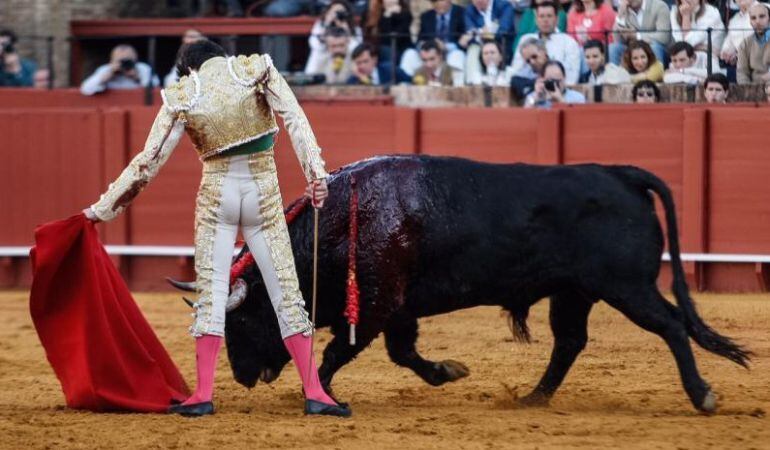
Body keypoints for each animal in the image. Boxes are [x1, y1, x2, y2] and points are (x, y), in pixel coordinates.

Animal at [172, 154, 744, 412]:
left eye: (242, 320)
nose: (245, 377)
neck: (341, 220)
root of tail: (619, 173)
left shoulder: (377, 304)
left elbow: (337, 352)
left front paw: (325, 394)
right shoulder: (397, 308)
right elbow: (404, 353)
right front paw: (448, 371)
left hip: (627, 287)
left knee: (671, 326)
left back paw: (702, 395)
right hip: (574, 292)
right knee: (570, 341)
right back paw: (533, 397)